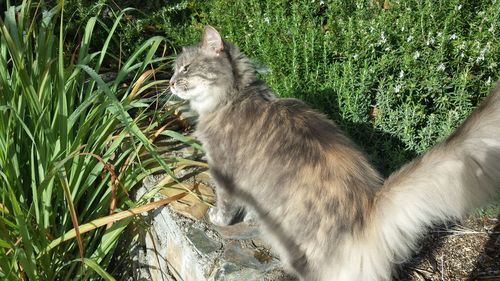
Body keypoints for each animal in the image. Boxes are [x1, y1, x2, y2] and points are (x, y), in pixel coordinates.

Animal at [170, 24, 500, 280]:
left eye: (185, 68)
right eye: (174, 69)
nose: (170, 82)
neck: (235, 96)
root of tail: (370, 206)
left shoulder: (223, 171)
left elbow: (226, 206)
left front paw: (217, 218)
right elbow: (250, 206)